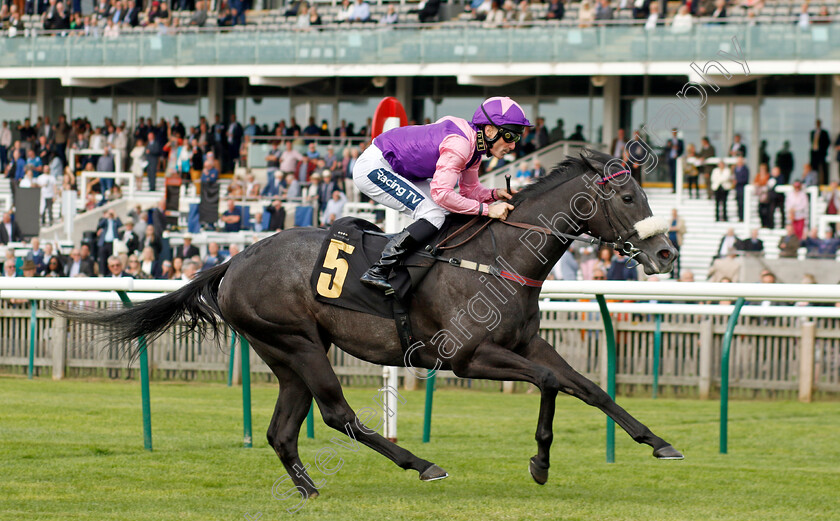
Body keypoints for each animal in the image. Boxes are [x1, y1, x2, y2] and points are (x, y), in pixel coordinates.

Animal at [64, 148, 684, 498]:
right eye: (628, 196)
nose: (667, 255)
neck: (500, 255)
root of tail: (233, 261)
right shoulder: (466, 357)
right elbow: (553, 383)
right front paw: (540, 462)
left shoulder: (526, 342)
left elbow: (589, 387)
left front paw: (658, 443)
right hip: (297, 342)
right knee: (338, 415)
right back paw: (421, 464)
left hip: (285, 355)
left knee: (282, 430)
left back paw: (309, 490)